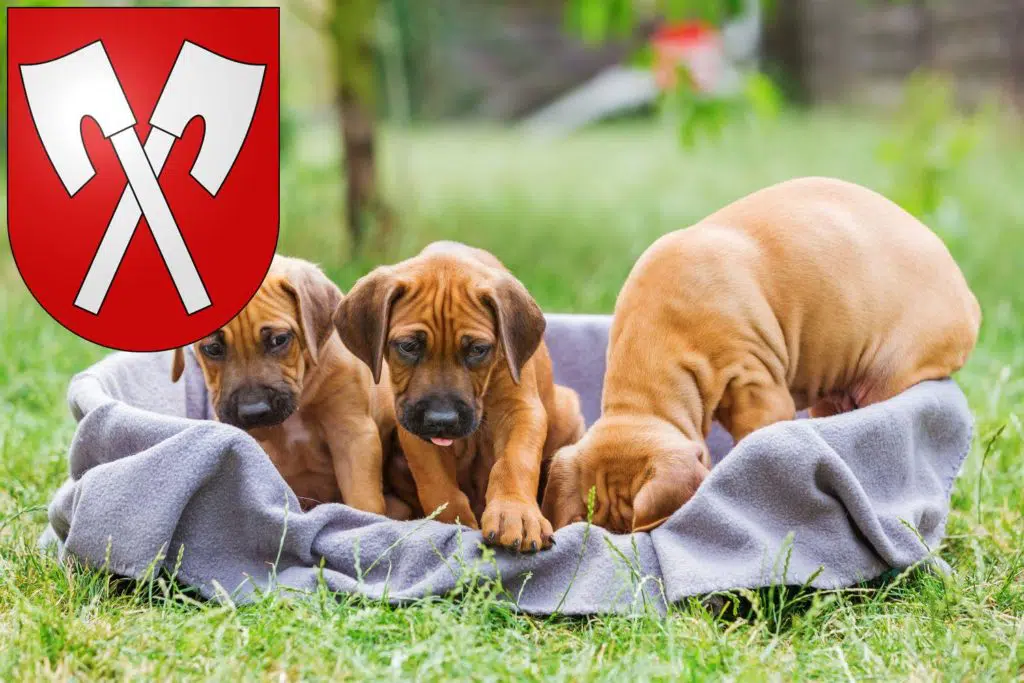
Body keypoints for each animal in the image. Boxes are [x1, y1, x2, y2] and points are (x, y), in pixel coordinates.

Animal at [331, 242, 581, 552]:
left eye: (477, 349)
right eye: (408, 346)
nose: (442, 420)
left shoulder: (521, 410)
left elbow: (514, 462)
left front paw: (516, 514)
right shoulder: (413, 426)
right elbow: (437, 484)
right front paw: (455, 525)